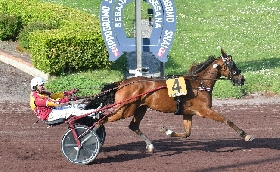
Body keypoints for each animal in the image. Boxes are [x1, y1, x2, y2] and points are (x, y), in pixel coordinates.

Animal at [86, 49, 254, 153]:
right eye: (232, 64)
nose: (242, 79)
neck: (199, 84)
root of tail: (122, 83)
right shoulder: (204, 110)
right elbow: (227, 120)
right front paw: (245, 135)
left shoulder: (188, 113)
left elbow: (187, 134)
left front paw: (166, 130)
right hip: (124, 109)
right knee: (102, 119)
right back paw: (89, 138)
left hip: (139, 108)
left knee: (133, 126)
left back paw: (150, 145)